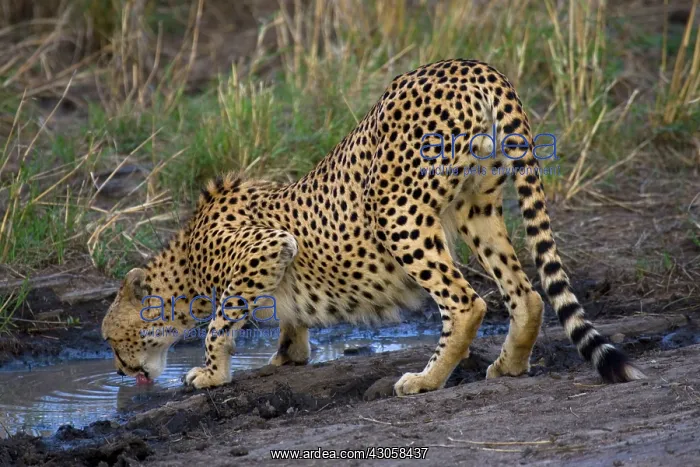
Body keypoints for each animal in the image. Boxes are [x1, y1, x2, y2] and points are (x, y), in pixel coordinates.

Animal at [102, 59, 645, 394]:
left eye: (111, 340)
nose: (120, 370)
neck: (186, 259)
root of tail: (469, 64)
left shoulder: (266, 247)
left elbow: (218, 324)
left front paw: (211, 374)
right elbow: (286, 321)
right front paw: (287, 356)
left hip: (397, 210)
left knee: (465, 302)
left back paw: (425, 380)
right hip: (476, 207)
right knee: (525, 293)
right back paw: (509, 365)